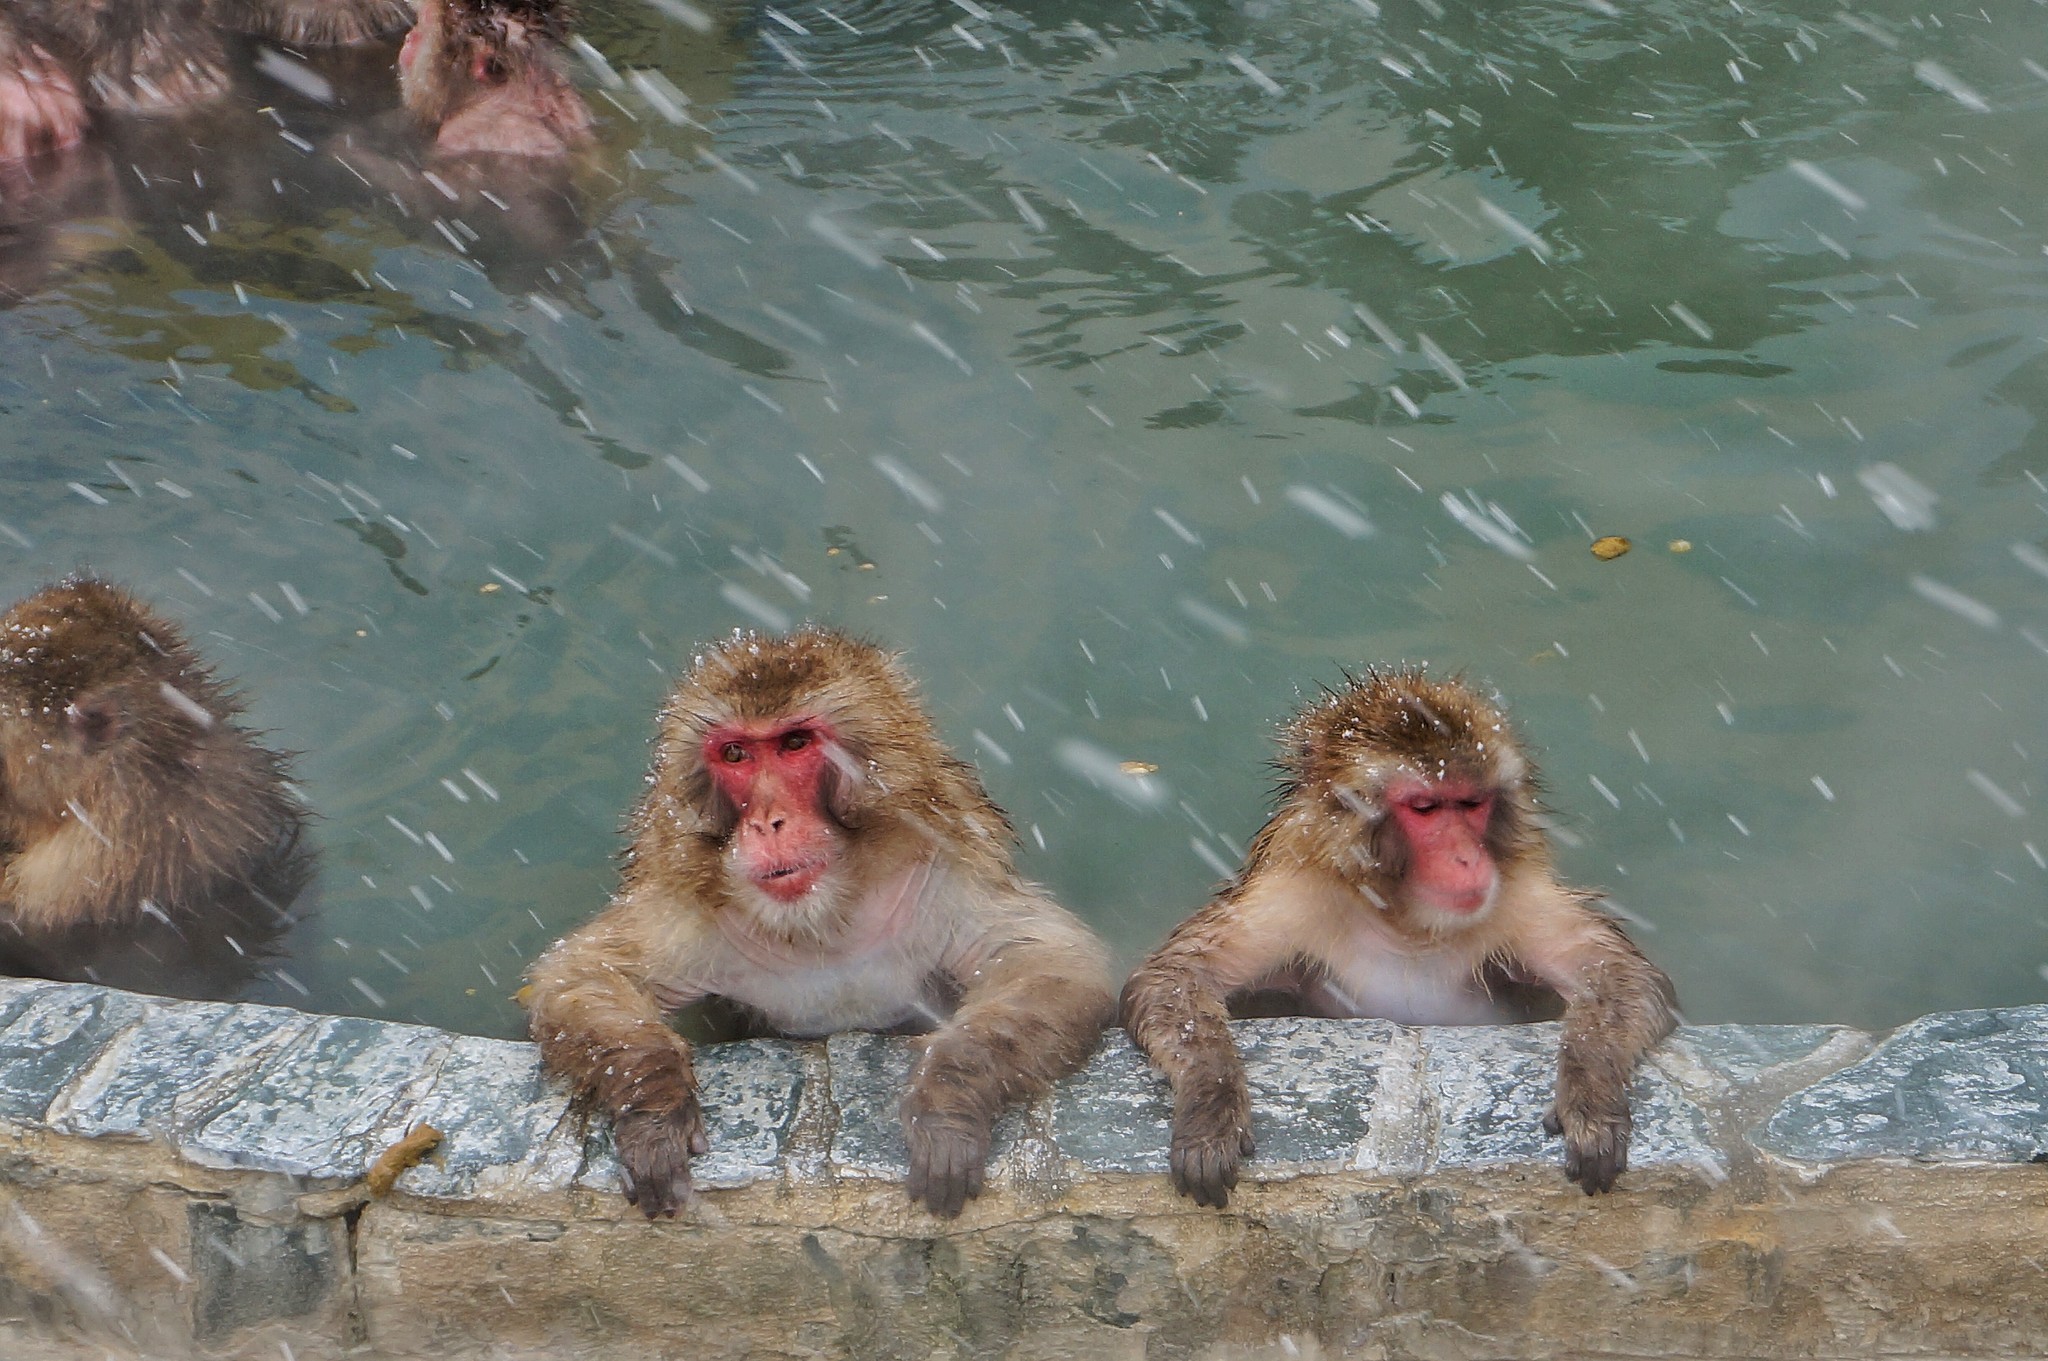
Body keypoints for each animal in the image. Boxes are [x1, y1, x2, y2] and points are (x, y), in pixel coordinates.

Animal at [520, 630, 1114, 1211]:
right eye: (735, 753)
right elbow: (580, 974)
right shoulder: (689, 913)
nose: (767, 822)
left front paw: (947, 1098)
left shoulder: (941, 876)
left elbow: (1049, 959)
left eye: (795, 744)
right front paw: (655, 1106)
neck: (823, 922)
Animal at [1122, 667, 1679, 1203]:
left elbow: (1619, 972)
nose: (1466, 858)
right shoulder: (1292, 900)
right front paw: (1209, 1109)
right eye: (1426, 808)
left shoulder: (1516, 897)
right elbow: (1174, 974)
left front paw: (1592, 1100)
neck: (1408, 923)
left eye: (1470, 804)